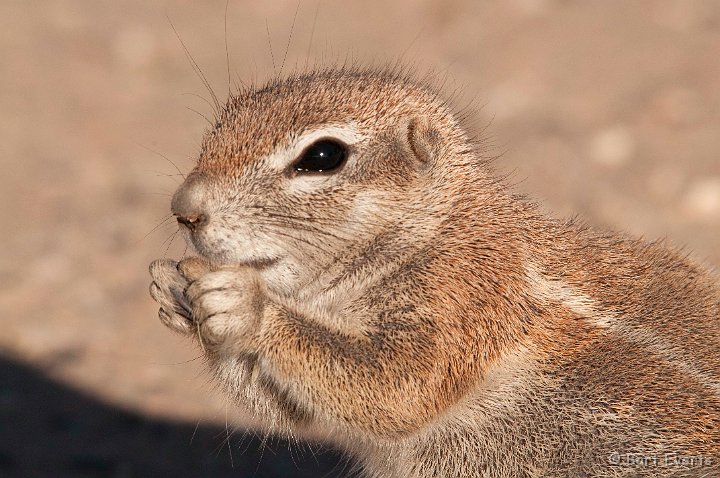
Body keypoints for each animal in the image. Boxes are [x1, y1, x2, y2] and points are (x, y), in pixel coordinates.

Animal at [148, 67, 720, 478]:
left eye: (323, 156)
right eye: (224, 119)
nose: (183, 209)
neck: (435, 230)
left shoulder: (463, 299)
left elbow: (396, 388)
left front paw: (245, 304)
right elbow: (295, 409)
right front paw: (172, 288)